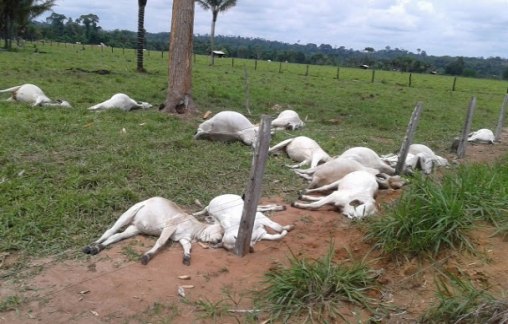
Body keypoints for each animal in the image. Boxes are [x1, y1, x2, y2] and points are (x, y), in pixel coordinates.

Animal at [83, 196, 222, 268]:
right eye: (221, 231)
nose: (219, 241)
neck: (195, 229)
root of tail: (147, 199)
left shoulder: (183, 238)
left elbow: (187, 247)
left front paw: (187, 258)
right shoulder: (170, 226)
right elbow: (160, 242)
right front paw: (146, 256)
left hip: (134, 228)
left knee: (118, 236)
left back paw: (96, 248)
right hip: (130, 212)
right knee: (110, 230)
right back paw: (91, 246)